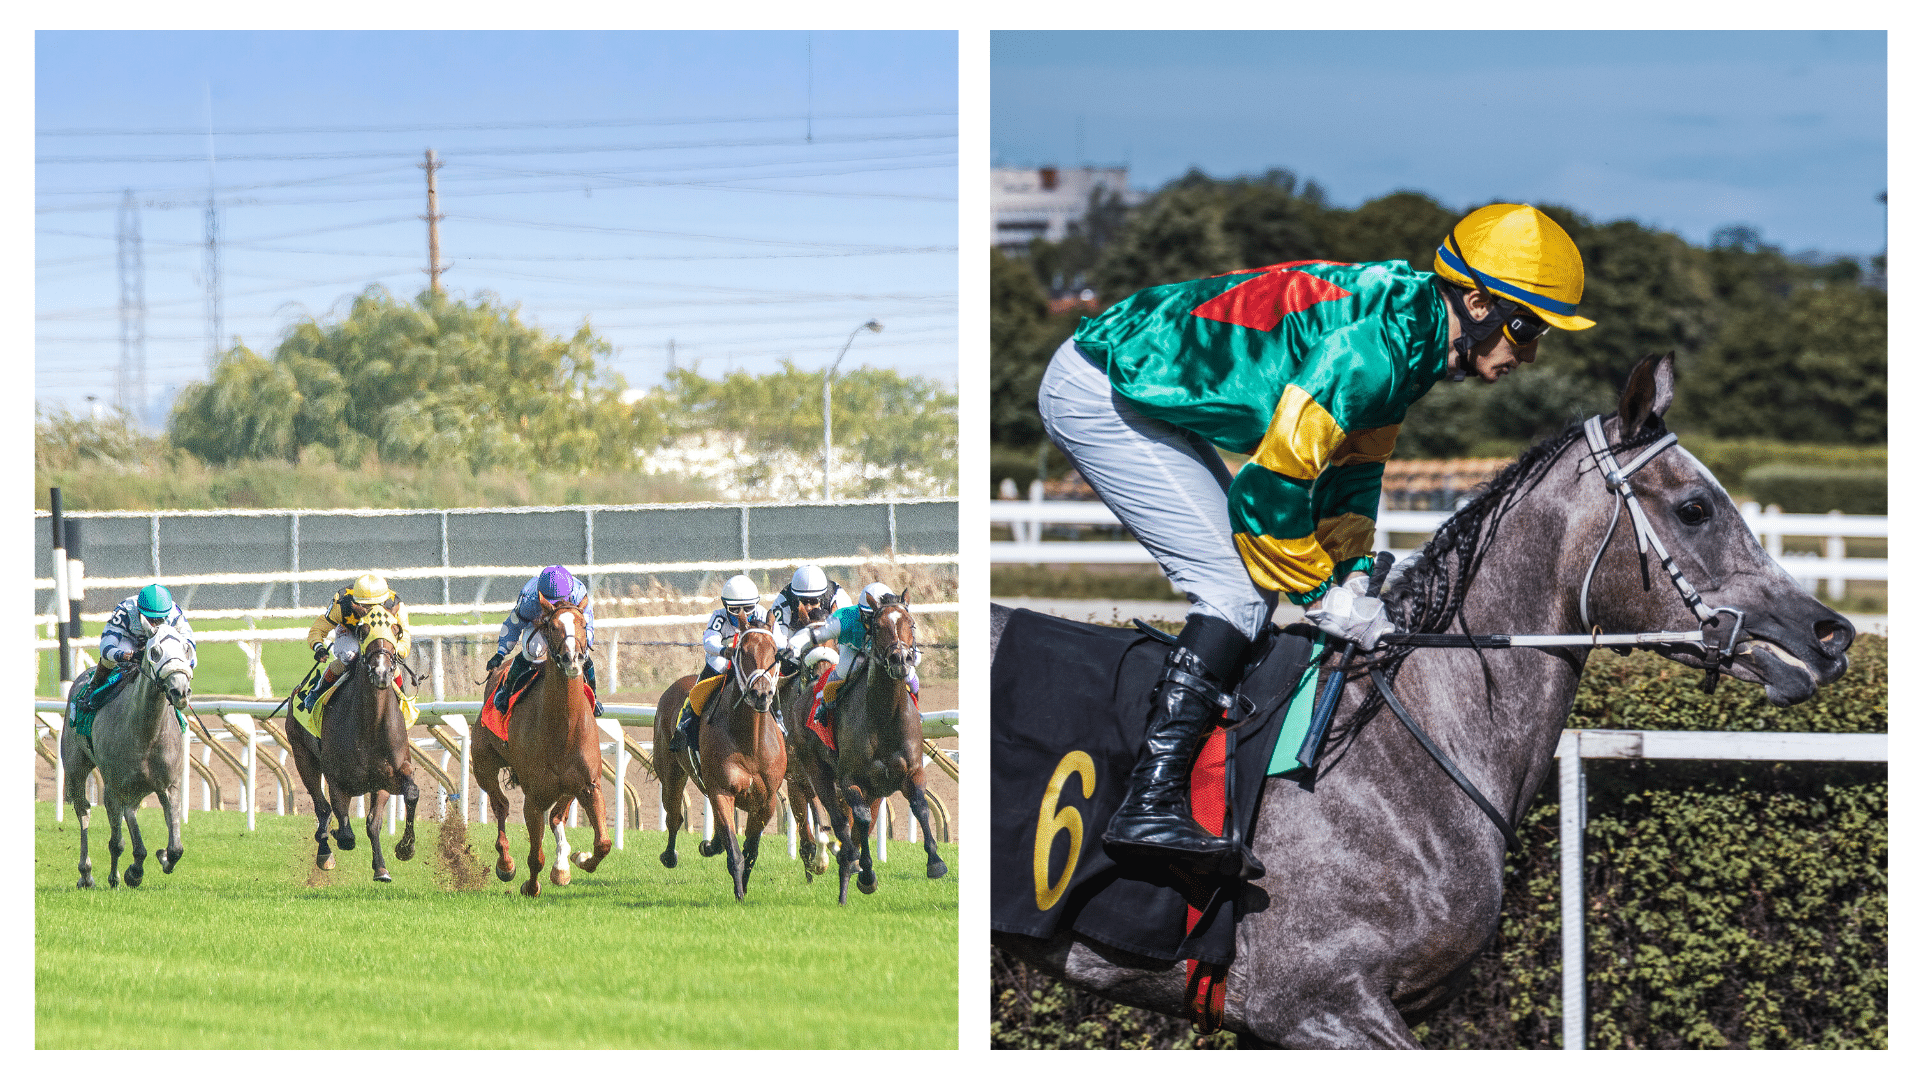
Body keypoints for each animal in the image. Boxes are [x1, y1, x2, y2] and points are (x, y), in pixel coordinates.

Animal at [60, 620, 195, 888]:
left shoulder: (168, 786)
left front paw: (158, 858)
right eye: (155, 652)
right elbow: (117, 842)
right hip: (76, 768)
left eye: (186, 649)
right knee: (84, 811)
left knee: (129, 813)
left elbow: (175, 847)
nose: (180, 691)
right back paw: (86, 874)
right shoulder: (114, 787)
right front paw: (122, 875)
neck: (146, 732)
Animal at [287, 606, 421, 882]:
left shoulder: (387, 778)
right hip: (303, 756)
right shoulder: (337, 779)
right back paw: (325, 851)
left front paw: (398, 854)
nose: (381, 672)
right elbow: (345, 830)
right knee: (322, 807)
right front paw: (336, 835)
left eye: (397, 630)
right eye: (363, 630)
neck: (370, 724)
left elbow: (382, 816)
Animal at [471, 594, 612, 897]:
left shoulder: (589, 785)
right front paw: (530, 886)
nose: (572, 658)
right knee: (500, 805)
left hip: (568, 787)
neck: (563, 729)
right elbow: (535, 855)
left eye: (583, 624)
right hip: (483, 765)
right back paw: (506, 863)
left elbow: (603, 844)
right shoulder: (533, 796)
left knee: (557, 816)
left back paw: (562, 866)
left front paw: (579, 859)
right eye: (553, 626)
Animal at [654, 613, 787, 899]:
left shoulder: (767, 801)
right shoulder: (722, 790)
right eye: (743, 652)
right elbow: (736, 851)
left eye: (774, 652)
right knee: (674, 816)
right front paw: (739, 892)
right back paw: (670, 855)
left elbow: (751, 851)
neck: (750, 743)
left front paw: (744, 886)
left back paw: (710, 845)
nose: (760, 694)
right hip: (671, 773)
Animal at [794, 590, 948, 904]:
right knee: (842, 821)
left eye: (911, 623)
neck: (884, 715)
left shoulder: (912, 772)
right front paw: (865, 871)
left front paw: (935, 862)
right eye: (877, 627)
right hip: (817, 772)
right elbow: (861, 821)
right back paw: (846, 865)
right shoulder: (851, 780)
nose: (900, 658)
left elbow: (920, 806)